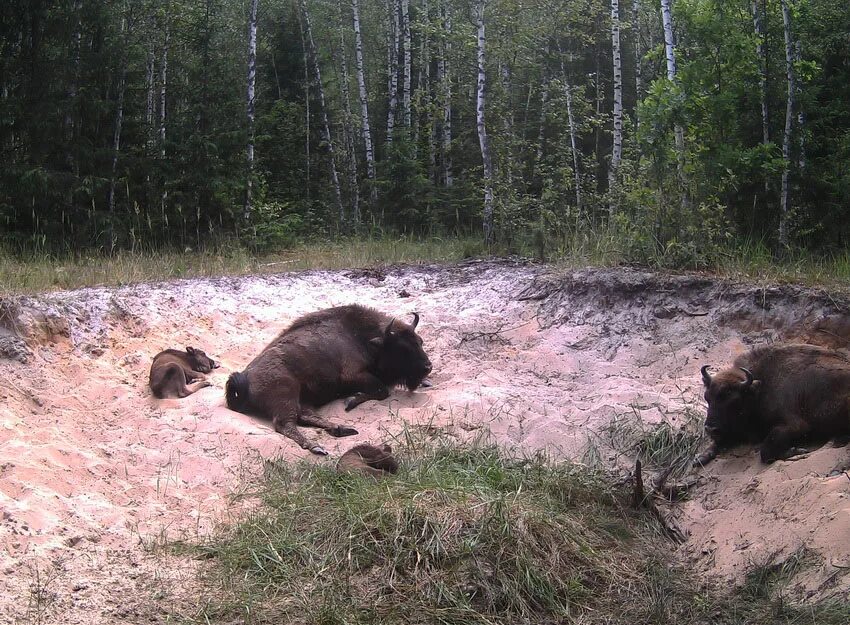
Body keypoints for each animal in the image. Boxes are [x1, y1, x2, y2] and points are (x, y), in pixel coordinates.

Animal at [224, 304, 430, 454]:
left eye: (420, 341)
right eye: (402, 348)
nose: (428, 367)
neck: (364, 337)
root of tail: (246, 376)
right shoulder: (353, 375)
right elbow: (382, 391)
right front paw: (350, 400)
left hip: (302, 399)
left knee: (305, 416)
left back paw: (341, 429)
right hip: (287, 394)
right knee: (285, 423)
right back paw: (317, 447)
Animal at [692, 344, 848, 466]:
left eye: (734, 401)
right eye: (707, 397)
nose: (710, 429)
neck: (759, 388)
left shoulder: (796, 425)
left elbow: (765, 452)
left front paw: (796, 451)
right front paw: (700, 458)